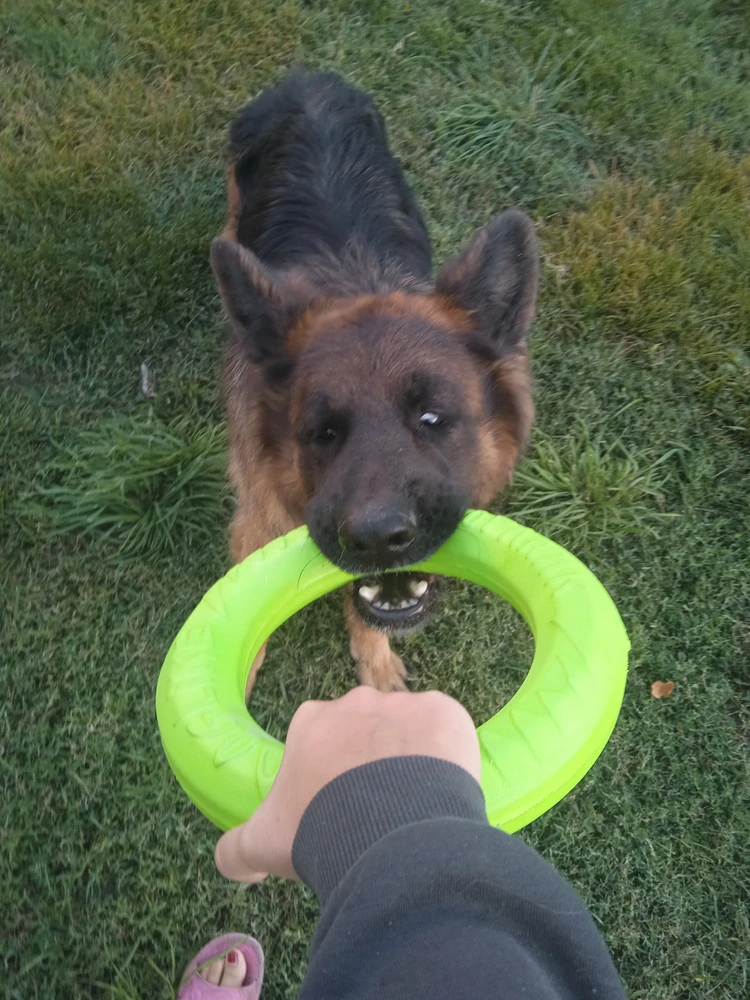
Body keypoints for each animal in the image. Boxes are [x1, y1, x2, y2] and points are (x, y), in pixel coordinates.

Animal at [213, 74, 540, 696]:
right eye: (322, 433)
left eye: (432, 419)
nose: (377, 537)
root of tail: (310, 77)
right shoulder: (258, 525)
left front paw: (376, 663)